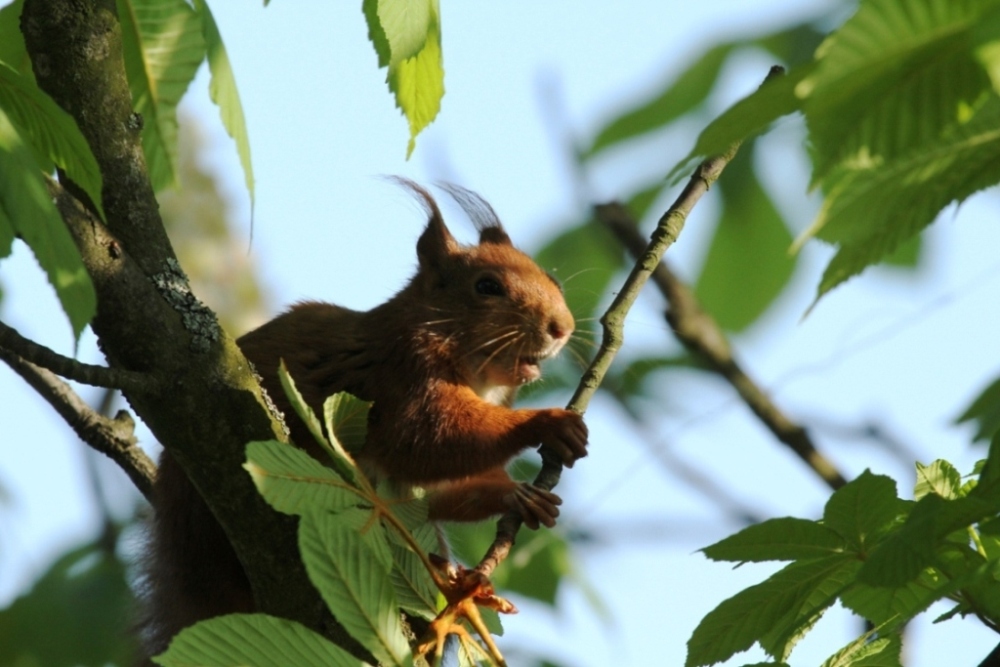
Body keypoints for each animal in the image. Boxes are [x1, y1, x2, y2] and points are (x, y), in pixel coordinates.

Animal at [145, 180, 588, 660]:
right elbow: (429, 439)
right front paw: (547, 422)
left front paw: (519, 495)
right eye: (487, 286)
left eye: (554, 280)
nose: (561, 327)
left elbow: (439, 489)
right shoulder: (402, 378)